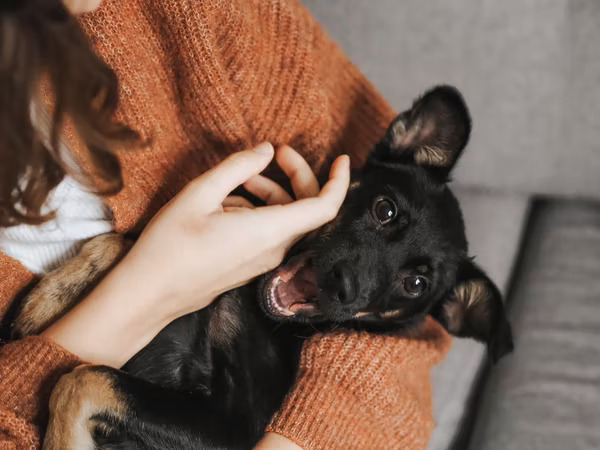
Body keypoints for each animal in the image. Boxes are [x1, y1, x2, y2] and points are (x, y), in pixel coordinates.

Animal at [11, 85, 512, 450]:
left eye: (416, 284)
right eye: (384, 210)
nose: (344, 287)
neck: (255, 308)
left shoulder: (233, 427)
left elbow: (84, 379)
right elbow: (118, 242)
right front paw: (46, 300)